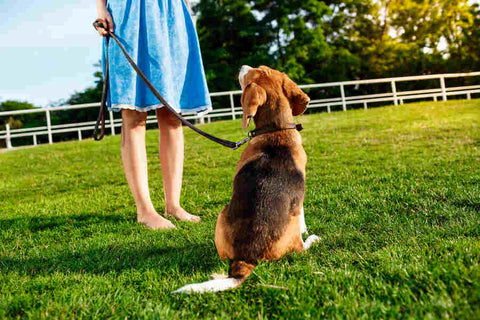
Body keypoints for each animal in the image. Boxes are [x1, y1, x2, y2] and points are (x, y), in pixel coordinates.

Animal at [174, 66, 320, 294]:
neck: (276, 129)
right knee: (300, 248)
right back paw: (312, 239)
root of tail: (248, 256)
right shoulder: (299, 202)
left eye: (259, 70)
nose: (242, 67)